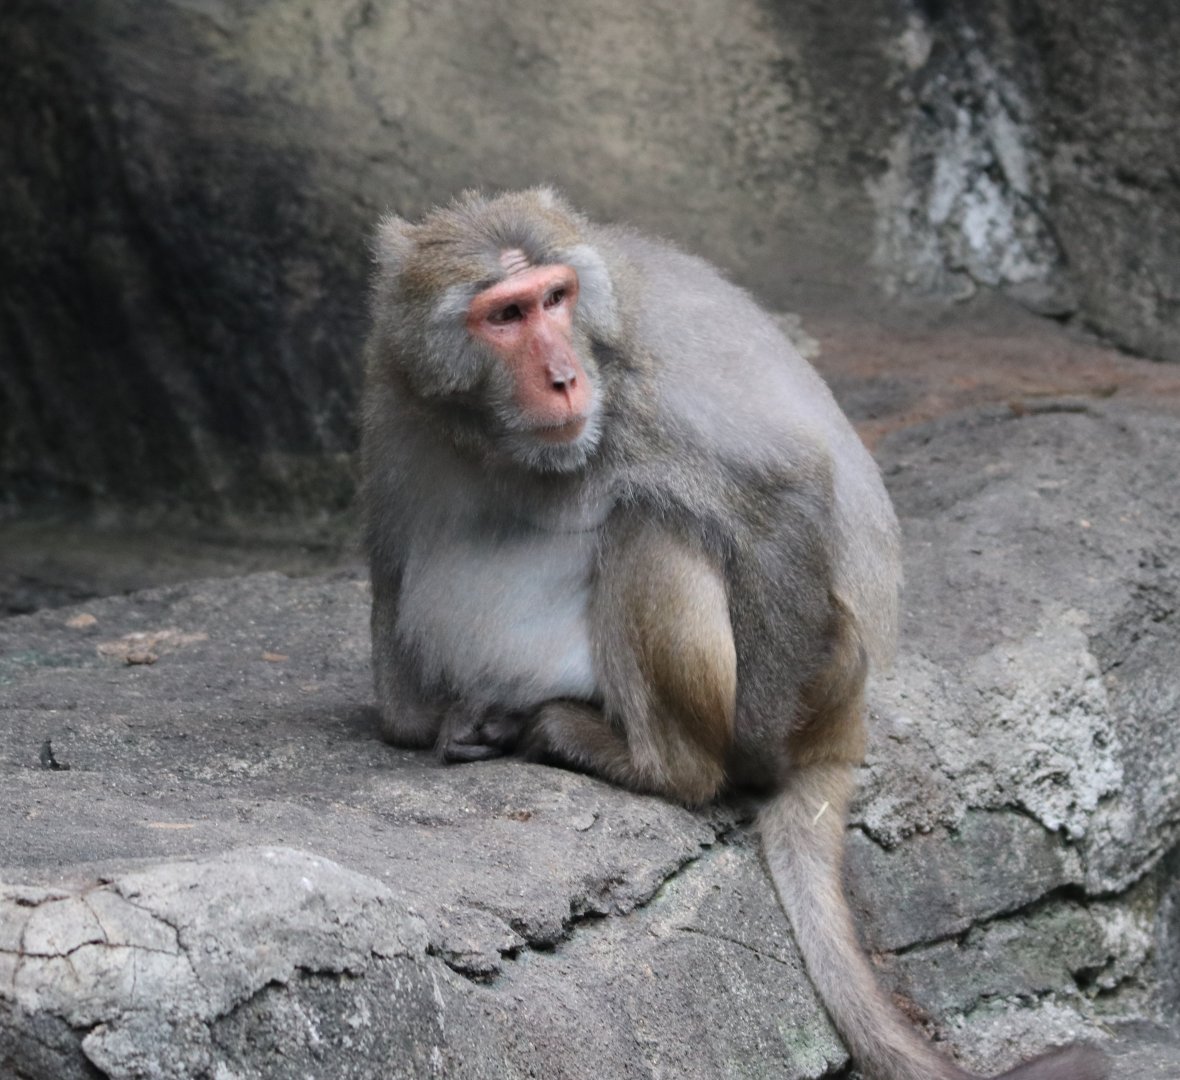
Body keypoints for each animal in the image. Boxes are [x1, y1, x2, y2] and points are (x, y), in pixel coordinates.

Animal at [360, 189, 1108, 1080]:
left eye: (554, 299)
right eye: (505, 315)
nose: (564, 377)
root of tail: (848, 720)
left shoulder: (650, 392)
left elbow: (787, 496)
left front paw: (736, 763)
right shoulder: (394, 400)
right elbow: (399, 665)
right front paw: (448, 718)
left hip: (821, 677)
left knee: (655, 521)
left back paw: (656, 763)